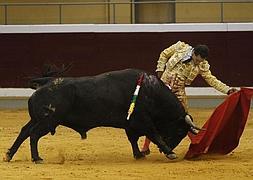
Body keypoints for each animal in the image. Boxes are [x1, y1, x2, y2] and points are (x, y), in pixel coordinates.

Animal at [3, 68, 200, 162]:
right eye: (180, 131)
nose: (171, 146)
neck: (150, 92)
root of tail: (45, 82)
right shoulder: (142, 121)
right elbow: (154, 134)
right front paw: (170, 153)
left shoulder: (130, 124)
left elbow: (133, 139)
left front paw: (139, 155)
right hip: (48, 121)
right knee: (34, 134)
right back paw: (36, 158)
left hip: (37, 119)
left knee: (24, 132)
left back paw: (9, 155)